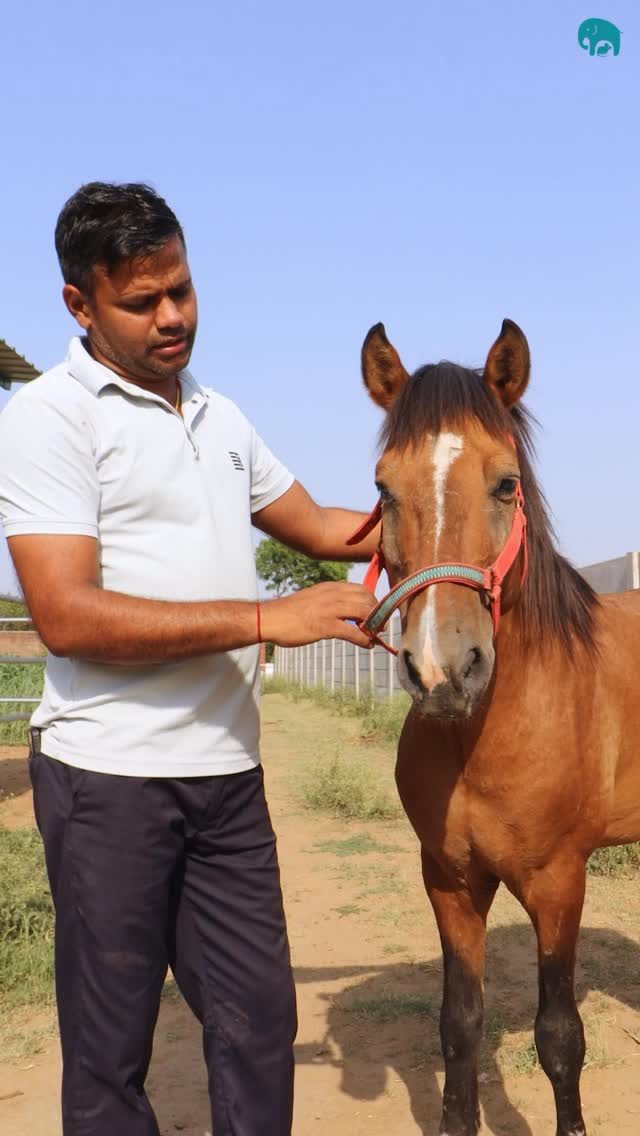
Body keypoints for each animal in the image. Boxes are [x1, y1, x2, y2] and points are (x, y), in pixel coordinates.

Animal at [349, 319, 640, 1136]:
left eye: (507, 483)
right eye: (383, 489)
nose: (445, 670)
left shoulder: (559, 883)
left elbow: (559, 1037)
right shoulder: (450, 881)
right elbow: (459, 1025)